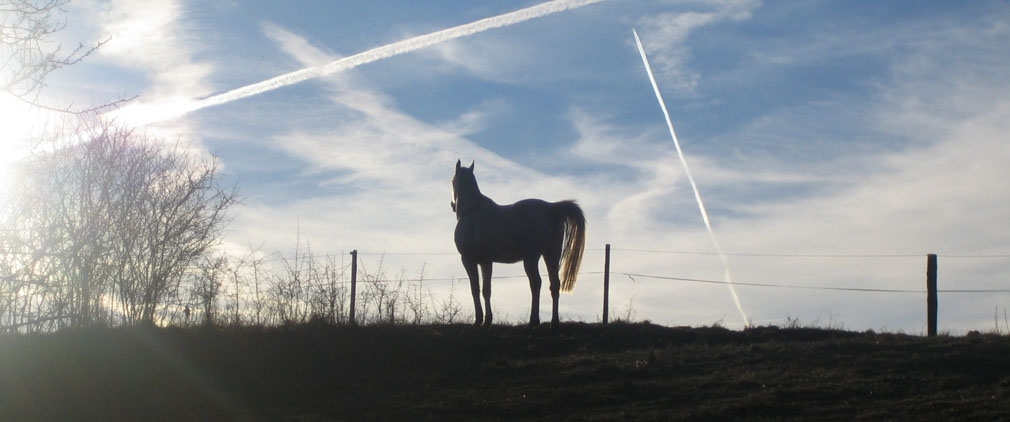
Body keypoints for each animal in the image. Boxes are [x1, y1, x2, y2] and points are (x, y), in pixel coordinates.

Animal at [450, 159, 585, 329]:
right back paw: (553, 323)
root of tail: (551, 208)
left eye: (452, 181)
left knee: (536, 283)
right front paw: (487, 320)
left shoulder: (468, 260)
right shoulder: (486, 262)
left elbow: (475, 289)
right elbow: (486, 290)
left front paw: (478, 320)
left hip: (531, 258)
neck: (472, 209)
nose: (452, 205)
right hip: (551, 255)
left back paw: (533, 321)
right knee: (554, 284)